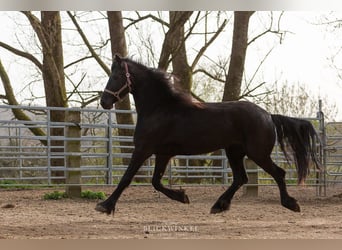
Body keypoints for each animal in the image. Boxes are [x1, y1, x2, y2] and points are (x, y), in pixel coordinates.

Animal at [97, 54, 320, 215]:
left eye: (116, 76)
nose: (104, 102)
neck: (159, 109)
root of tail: (268, 115)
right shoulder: (162, 153)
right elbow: (156, 182)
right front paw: (182, 196)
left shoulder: (143, 149)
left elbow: (127, 178)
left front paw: (105, 205)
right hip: (235, 152)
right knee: (241, 178)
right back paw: (219, 205)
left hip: (257, 153)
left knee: (277, 173)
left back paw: (291, 204)